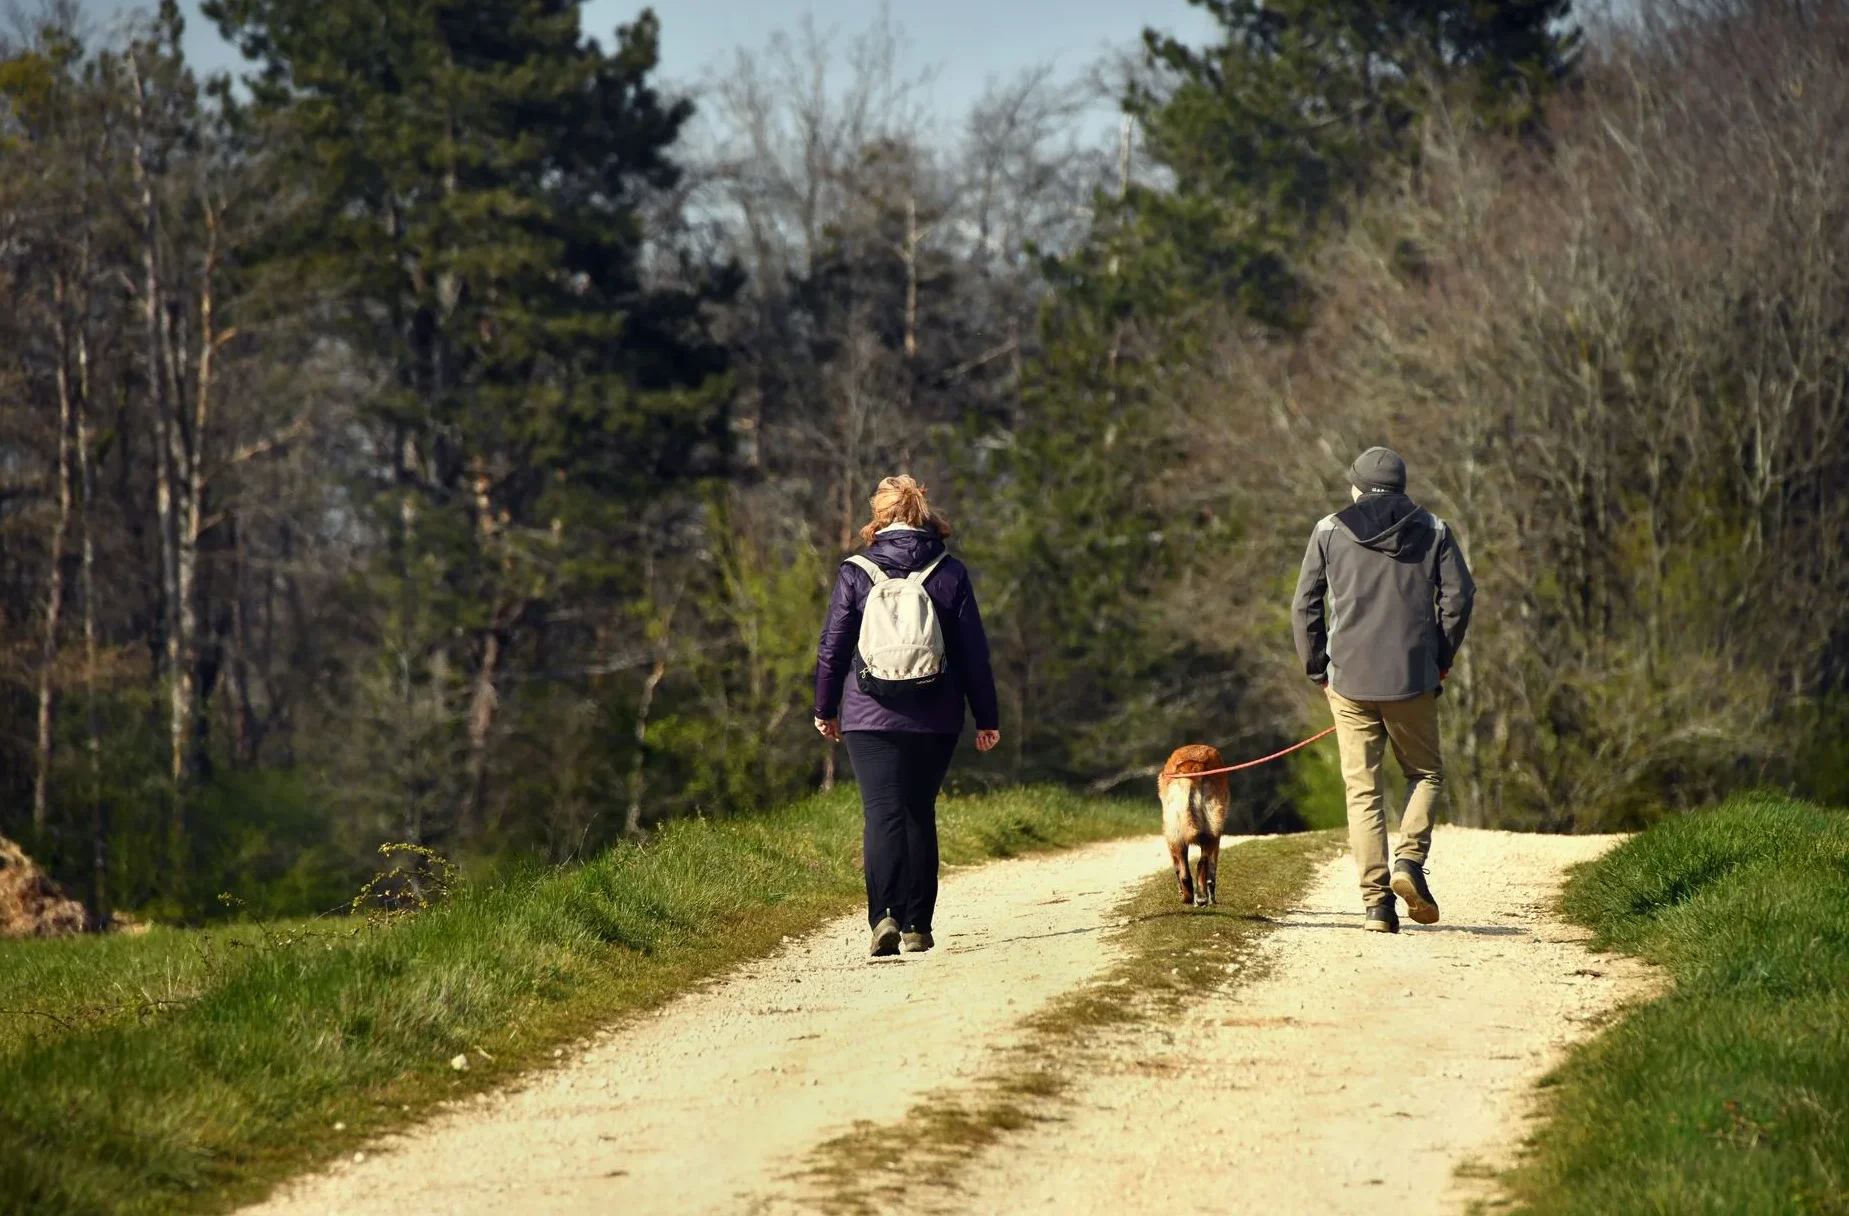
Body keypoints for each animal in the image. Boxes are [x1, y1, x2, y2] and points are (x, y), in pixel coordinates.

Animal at [1153, 739, 1227, 898]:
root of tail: (1192, 768)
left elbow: (1178, 867)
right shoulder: (1216, 836)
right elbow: (1212, 871)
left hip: (1177, 832)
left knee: (1186, 873)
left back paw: (1189, 897)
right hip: (1211, 829)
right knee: (1202, 864)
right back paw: (1202, 897)